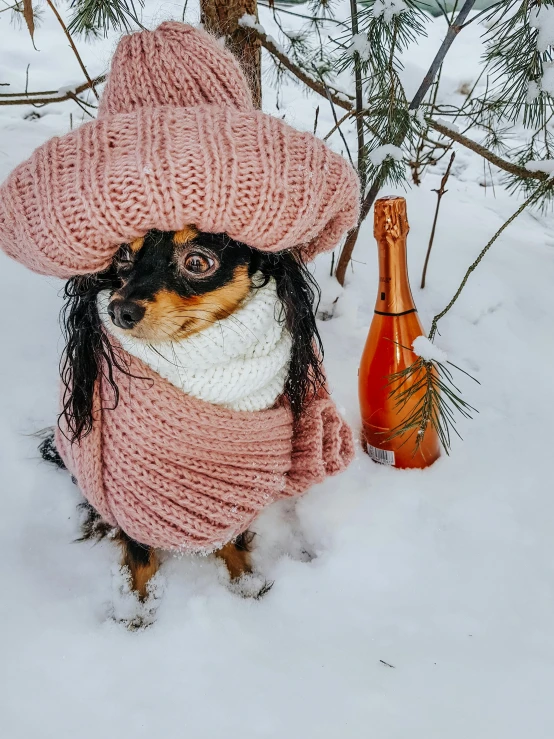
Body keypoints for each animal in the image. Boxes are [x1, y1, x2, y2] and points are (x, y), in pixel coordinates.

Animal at [42, 227, 324, 608]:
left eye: (197, 262)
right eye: (123, 257)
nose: (119, 311)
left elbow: (231, 539)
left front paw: (246, 584)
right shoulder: (129, 496)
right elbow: (141, 557)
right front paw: (137, 607)